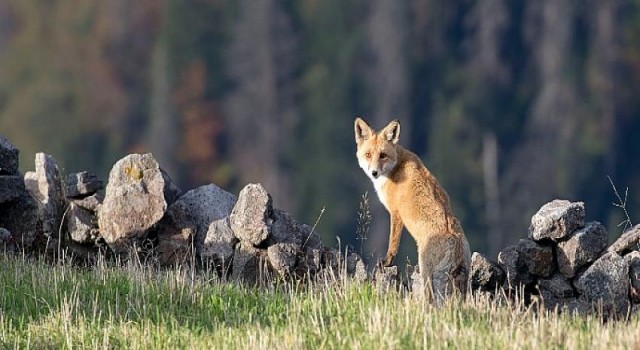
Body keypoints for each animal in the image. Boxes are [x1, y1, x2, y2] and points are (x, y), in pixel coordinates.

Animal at [352, 117, 472, 300]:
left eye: (383, 155)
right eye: (368, 155)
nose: (374, 173)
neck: (396, 166)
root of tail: (455, 240)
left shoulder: (395, 213)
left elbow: (393, 244)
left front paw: (387, 263)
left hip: (426, 273)